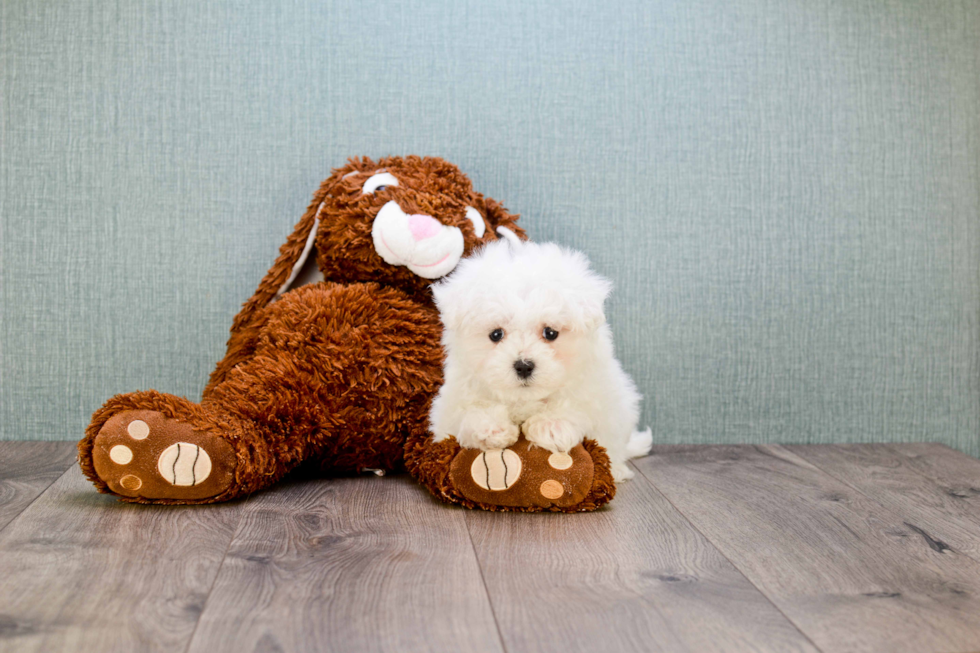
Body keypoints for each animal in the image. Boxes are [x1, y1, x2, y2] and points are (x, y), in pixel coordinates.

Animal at [428, 238, 652, 478]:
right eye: (496, 334)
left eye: (550, 333)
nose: (524, 366)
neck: (524, 399)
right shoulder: (453, 401)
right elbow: (468, 410)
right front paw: (490, 427)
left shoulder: (594, 387)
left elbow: (575, 402)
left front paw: (552, 426)